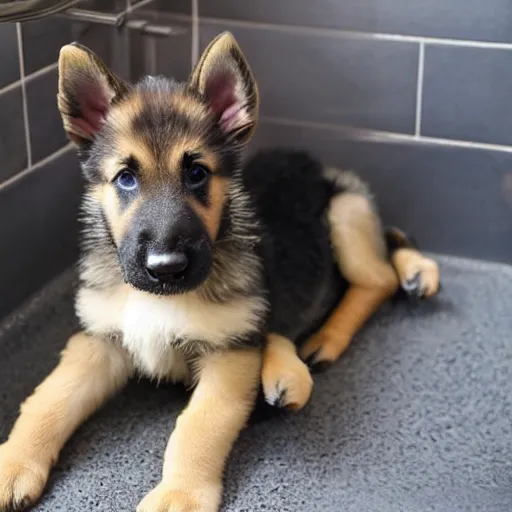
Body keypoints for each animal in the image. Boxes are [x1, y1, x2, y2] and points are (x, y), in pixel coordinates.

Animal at [0, 33, 440, 512]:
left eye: (196, 173)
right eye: (125, 179)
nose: (165, 268)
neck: (158, 300)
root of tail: (319, 165)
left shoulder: (227, 356)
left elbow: (198, 427)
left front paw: (179, 495)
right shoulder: (99, 341)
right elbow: (48, 400)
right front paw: (13, 463)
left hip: (343, 211)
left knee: (377, 277)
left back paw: (324, 340)